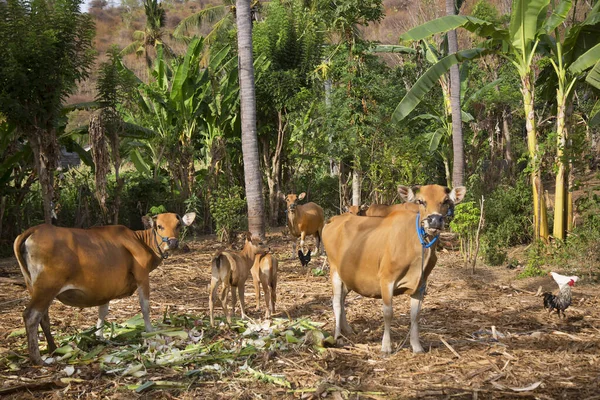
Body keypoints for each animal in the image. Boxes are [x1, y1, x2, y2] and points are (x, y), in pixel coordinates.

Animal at [14, 212, 196, 366]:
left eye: (178, 225)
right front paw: (150, 331)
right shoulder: (142, 277)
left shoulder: (106, 287)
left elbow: (103, 311)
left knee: (43, 317)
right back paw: (37, 359)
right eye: (159, 226)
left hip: (36, 288)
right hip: (47, 288)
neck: (141, 241)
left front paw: (99, 336)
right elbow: (145, 307)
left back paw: (53, 348)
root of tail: (35, 229)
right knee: (31, 316)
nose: (173, 242)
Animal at [322, 184, 466, 354]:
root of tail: (334, 219)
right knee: (336, 302)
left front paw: (416, 346)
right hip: (334, 270)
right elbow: (388, 313)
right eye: (420, 201)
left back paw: (347, 329)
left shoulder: (421, 284)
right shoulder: (386, 279)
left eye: (445, 201)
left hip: (349, 276)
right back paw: (338, 336)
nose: (435, 220)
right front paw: (386, 347)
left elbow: (415, 315)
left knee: (342, 299)